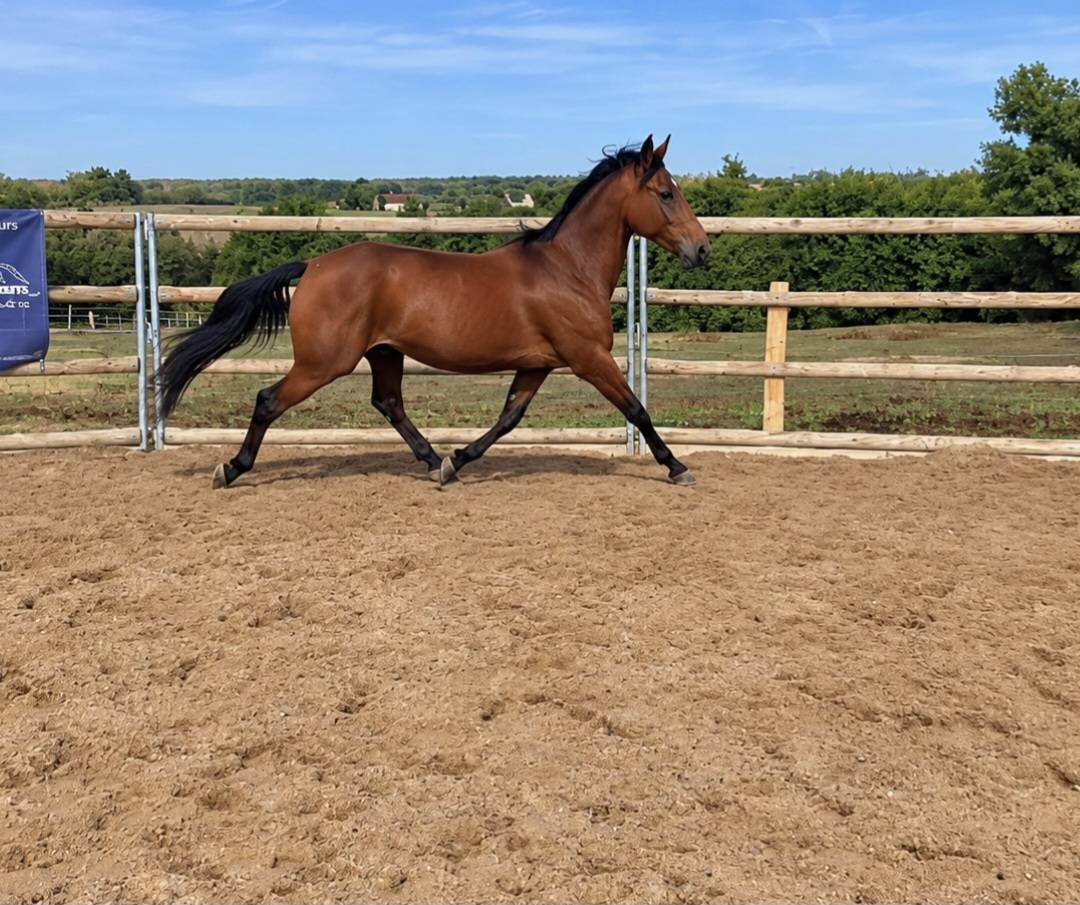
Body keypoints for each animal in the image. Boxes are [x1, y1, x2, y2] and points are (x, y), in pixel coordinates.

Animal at [158, 134, 710, 489]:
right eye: (666, 193)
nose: (702, 250)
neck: (566, 269)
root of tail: (312, 264)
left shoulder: (537, 364)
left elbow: (509, 417)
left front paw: (457, 461)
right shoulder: (588, 357)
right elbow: (636, 409)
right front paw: (677, 467)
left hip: (383, 353)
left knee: (388, 403)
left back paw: (430, 461)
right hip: (324, 362)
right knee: (268, 399)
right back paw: (231, 469)